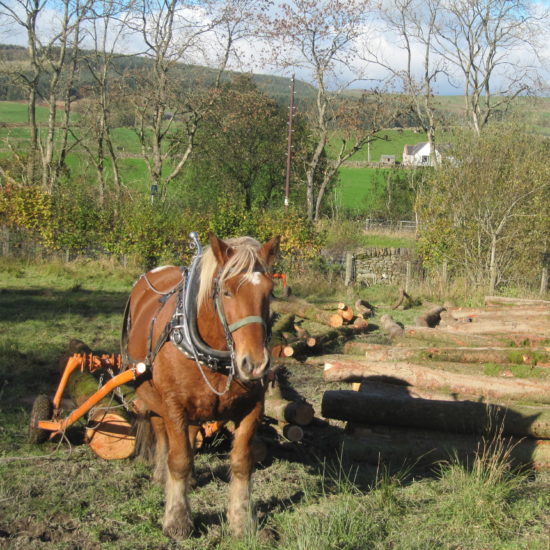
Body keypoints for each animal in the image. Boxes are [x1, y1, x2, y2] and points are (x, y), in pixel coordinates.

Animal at [125, 235, 280, 540]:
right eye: (227, 292)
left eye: (269, 291)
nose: (254, 364)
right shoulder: (174, 406)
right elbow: (179, 458)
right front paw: (177, 520)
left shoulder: (253, 408)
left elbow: (242, 462)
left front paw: (241, 520)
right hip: (152, 395)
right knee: (162, 432)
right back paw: (161, 475)